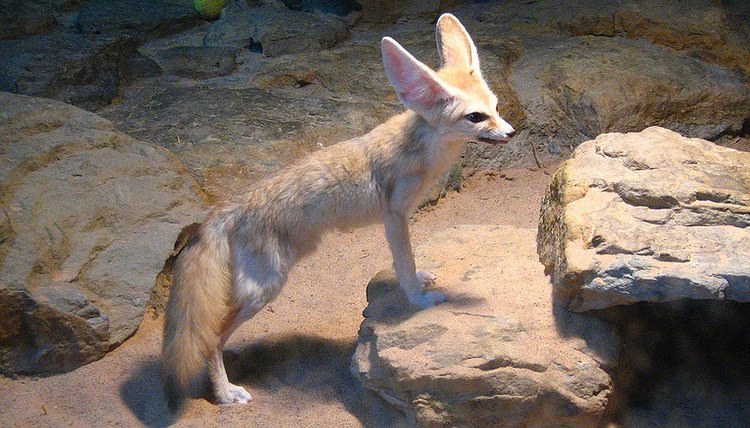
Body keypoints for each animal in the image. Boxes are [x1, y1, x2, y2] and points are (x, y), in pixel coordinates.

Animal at [163, 14, 516, 412]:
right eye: (476, 117)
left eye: (496, 106)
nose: (511, 132)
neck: (424, 146)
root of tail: (223, 210)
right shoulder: (395, 215)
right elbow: (404, 262)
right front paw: (418, 300)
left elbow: (406, 264)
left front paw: (419, 280)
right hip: (264, 290)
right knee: (211, 340)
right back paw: (224, 393)